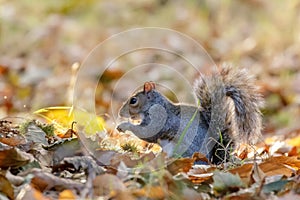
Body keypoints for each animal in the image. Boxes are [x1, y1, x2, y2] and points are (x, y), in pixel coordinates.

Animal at [116, 65, 262, 164]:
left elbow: (146, 132)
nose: (120, 112)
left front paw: (124, 125)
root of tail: (212, 160)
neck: (155, 104)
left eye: (133, 100)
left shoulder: (159, 119)